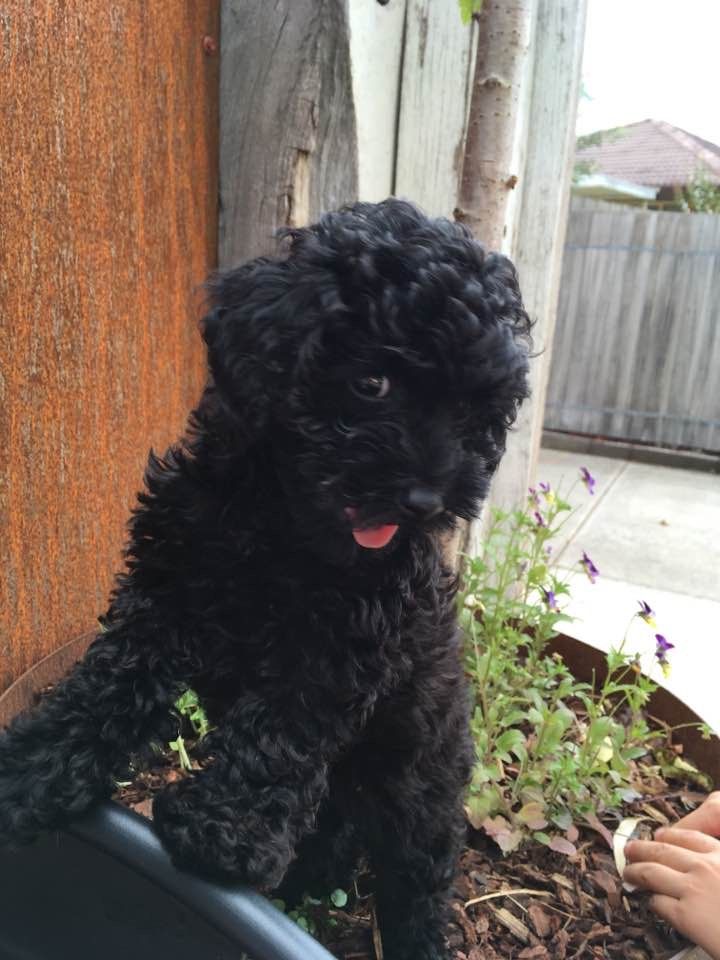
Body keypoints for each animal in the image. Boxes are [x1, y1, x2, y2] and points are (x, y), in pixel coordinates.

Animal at [0, 199, 528, 956]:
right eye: (372, 382)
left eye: (469, 411)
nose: (426, 500)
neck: (284, 527)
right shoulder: (166, 591)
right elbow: (109, 685)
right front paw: (34, 766)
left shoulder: (343, 650)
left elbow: (280, 731)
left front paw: (224, 834)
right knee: (333, 834)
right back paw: (303, 881)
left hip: (418, 780)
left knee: (417, 875)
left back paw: (413, 937)